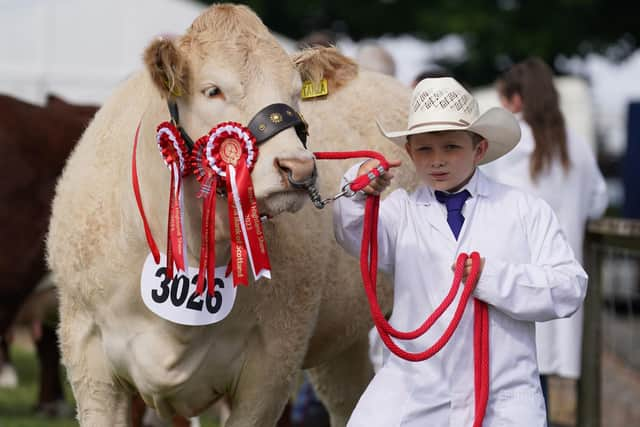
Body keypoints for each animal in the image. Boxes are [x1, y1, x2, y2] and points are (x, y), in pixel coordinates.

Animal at [46, 4, 416, 427]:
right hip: (346, 343)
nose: (298, 168)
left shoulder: (274, 362)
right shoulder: (88, 356)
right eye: (213, 90)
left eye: (296, 93)